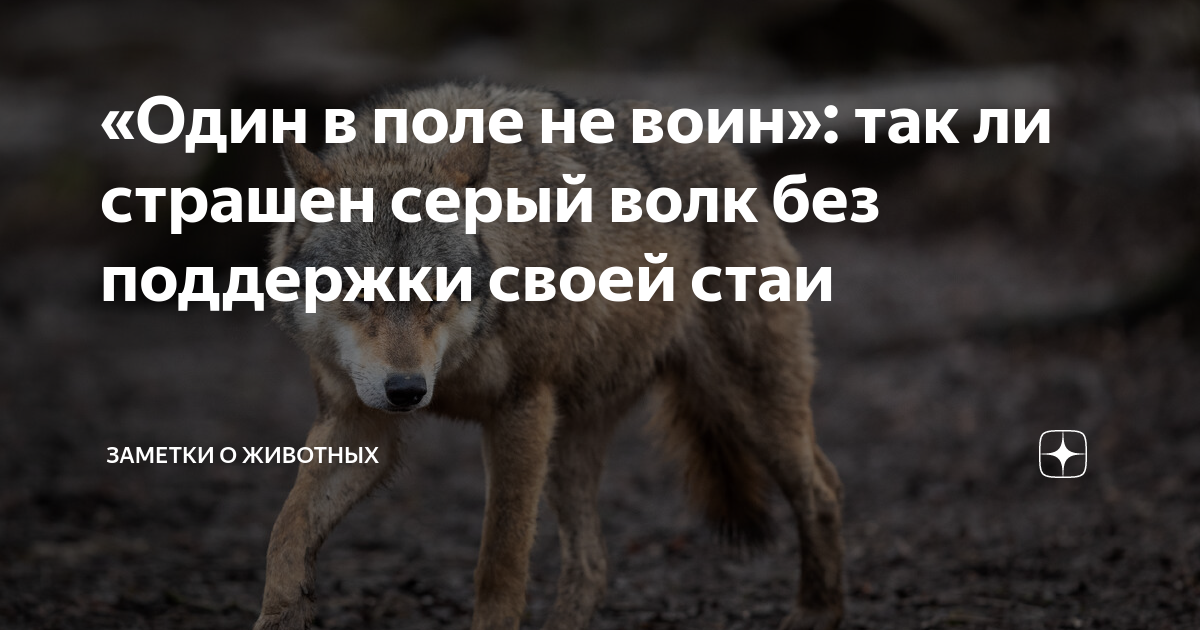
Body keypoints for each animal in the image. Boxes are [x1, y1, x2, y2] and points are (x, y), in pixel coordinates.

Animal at [255, 83, 844, 630]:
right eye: (358, 291)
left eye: (437, 293)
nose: (408, 391)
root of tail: (733, 156)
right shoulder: (361, 421)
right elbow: (286, 530)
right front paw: (283, 610)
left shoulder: (520, 411)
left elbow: (500, 562)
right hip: (568, 447)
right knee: (593, 564)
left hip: (746, 406)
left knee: (823, 490)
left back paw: (817, 611)